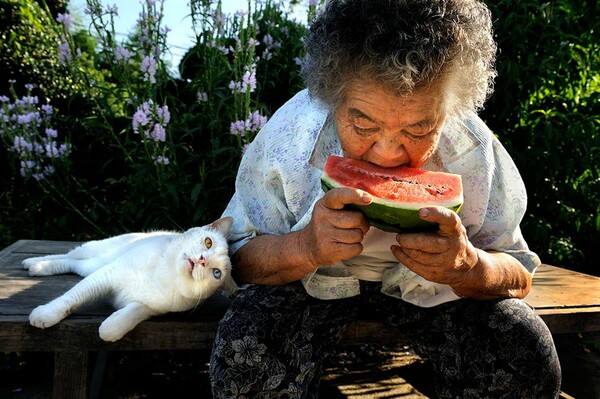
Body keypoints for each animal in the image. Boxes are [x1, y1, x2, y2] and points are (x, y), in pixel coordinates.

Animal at [21, 217, 237, 342]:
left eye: (216, 273)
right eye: (208, 242)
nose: (202, 260)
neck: (165, 275)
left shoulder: (148, 307)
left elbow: (128, 317)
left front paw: (109, 328)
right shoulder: (106, 275)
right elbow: (71, 298)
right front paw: (46, 315)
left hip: (91, 266)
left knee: (73, 263)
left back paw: (35, 266)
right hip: (96, 252)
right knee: (70, 255)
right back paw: (33, 263)